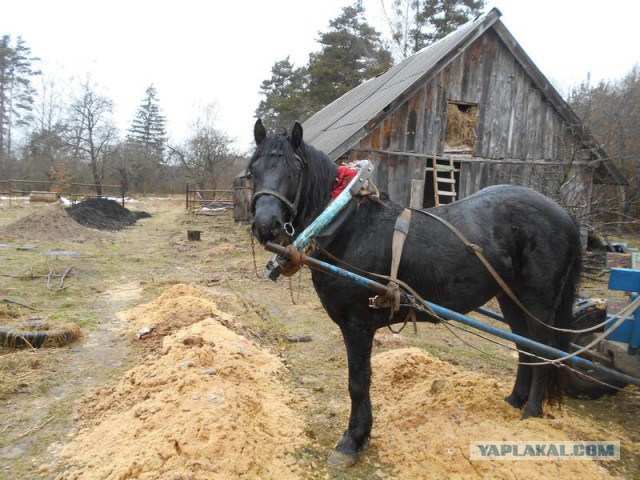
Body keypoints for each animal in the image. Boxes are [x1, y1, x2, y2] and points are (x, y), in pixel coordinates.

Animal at [249, 119, 580, 464]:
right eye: (253, 170)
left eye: (293, 170)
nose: (266, 226)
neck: (347, 226)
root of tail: (566, 215)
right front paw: (362, 434)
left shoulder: (358, 324)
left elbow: (358, 382)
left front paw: (352, 440)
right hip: (509, 297)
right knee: (525, 347)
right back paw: (515, 400)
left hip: (538, 300)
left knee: (543, 349)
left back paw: (531, 412)